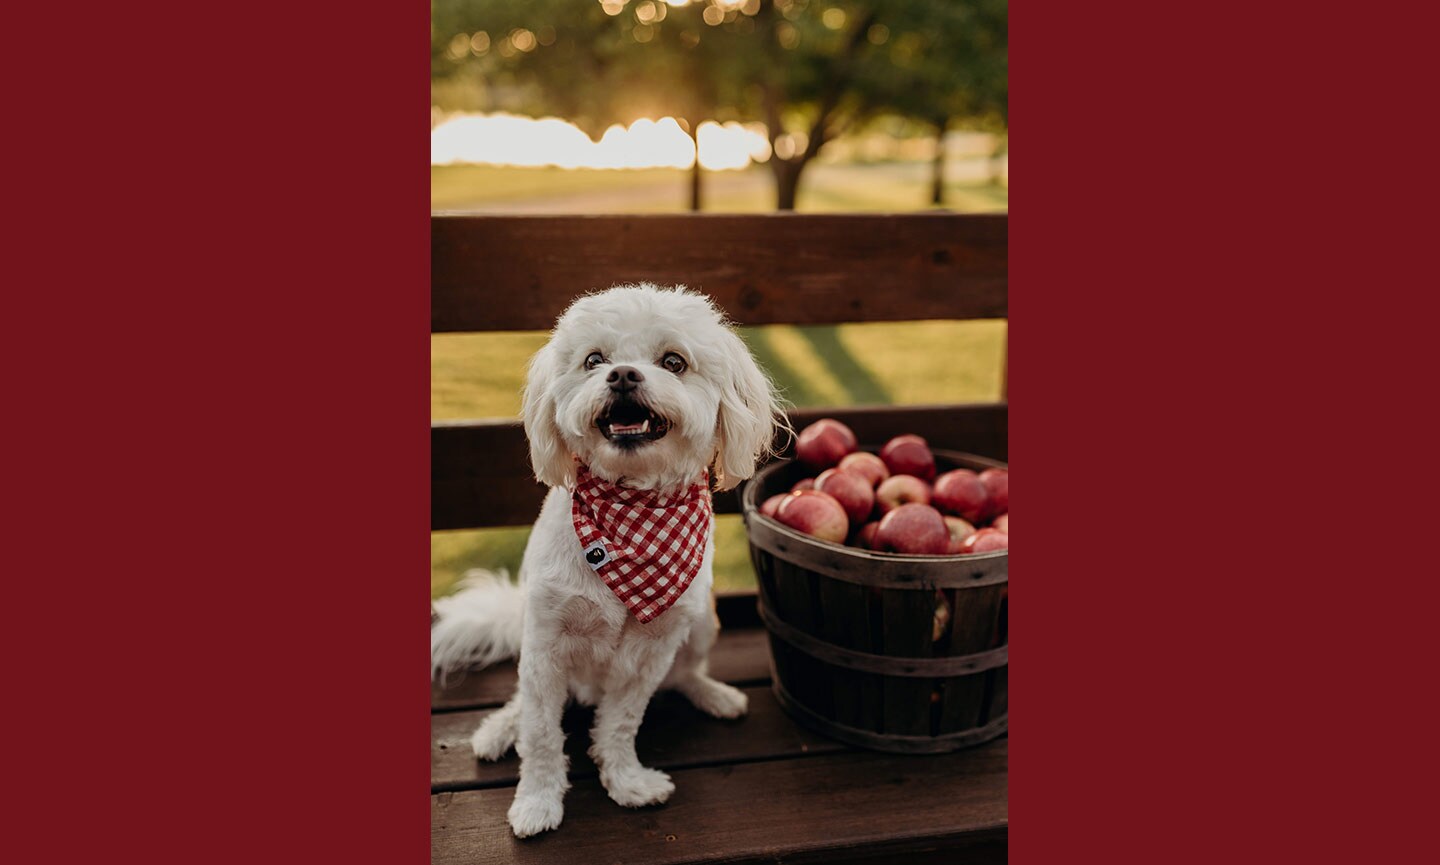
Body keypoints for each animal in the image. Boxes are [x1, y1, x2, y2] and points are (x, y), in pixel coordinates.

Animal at [429, 283, 783, 834]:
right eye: (594, 360)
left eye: (674, 362)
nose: (622, 375)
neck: (631, 518)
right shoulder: (546, 647)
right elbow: (541, 734)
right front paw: (537, 802)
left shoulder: (651, 653)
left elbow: (620, 723)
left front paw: (626, 781)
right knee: (521, 701)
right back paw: (500, 728)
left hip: (704, 621)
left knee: (685, 673)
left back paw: (714, 695)